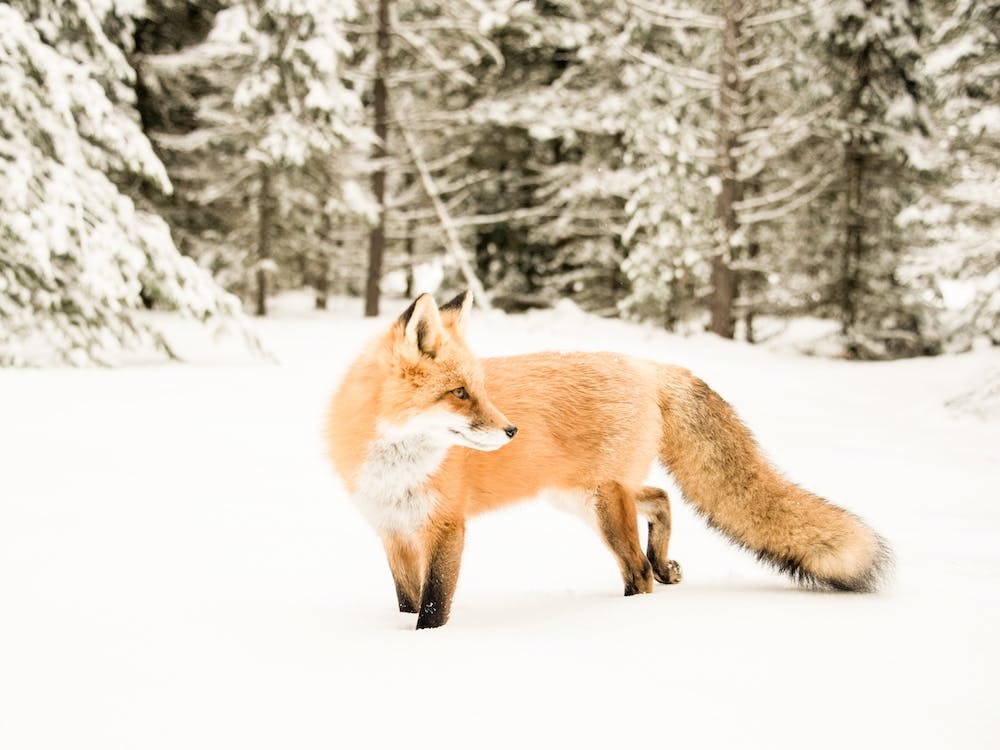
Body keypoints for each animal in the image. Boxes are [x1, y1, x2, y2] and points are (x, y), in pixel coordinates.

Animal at [327, 291, 891, 629]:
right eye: (460, 393)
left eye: (479, 390)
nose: (511, 430)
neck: (396, 467)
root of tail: (646, 365)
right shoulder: (393, 531)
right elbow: (406, 599)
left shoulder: (446, 527)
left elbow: (433, 605)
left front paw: (425, 645)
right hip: (582, 496)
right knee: (661, 498)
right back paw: (665, 564)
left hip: (601, 504)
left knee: (637, 570)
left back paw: (626, 613)